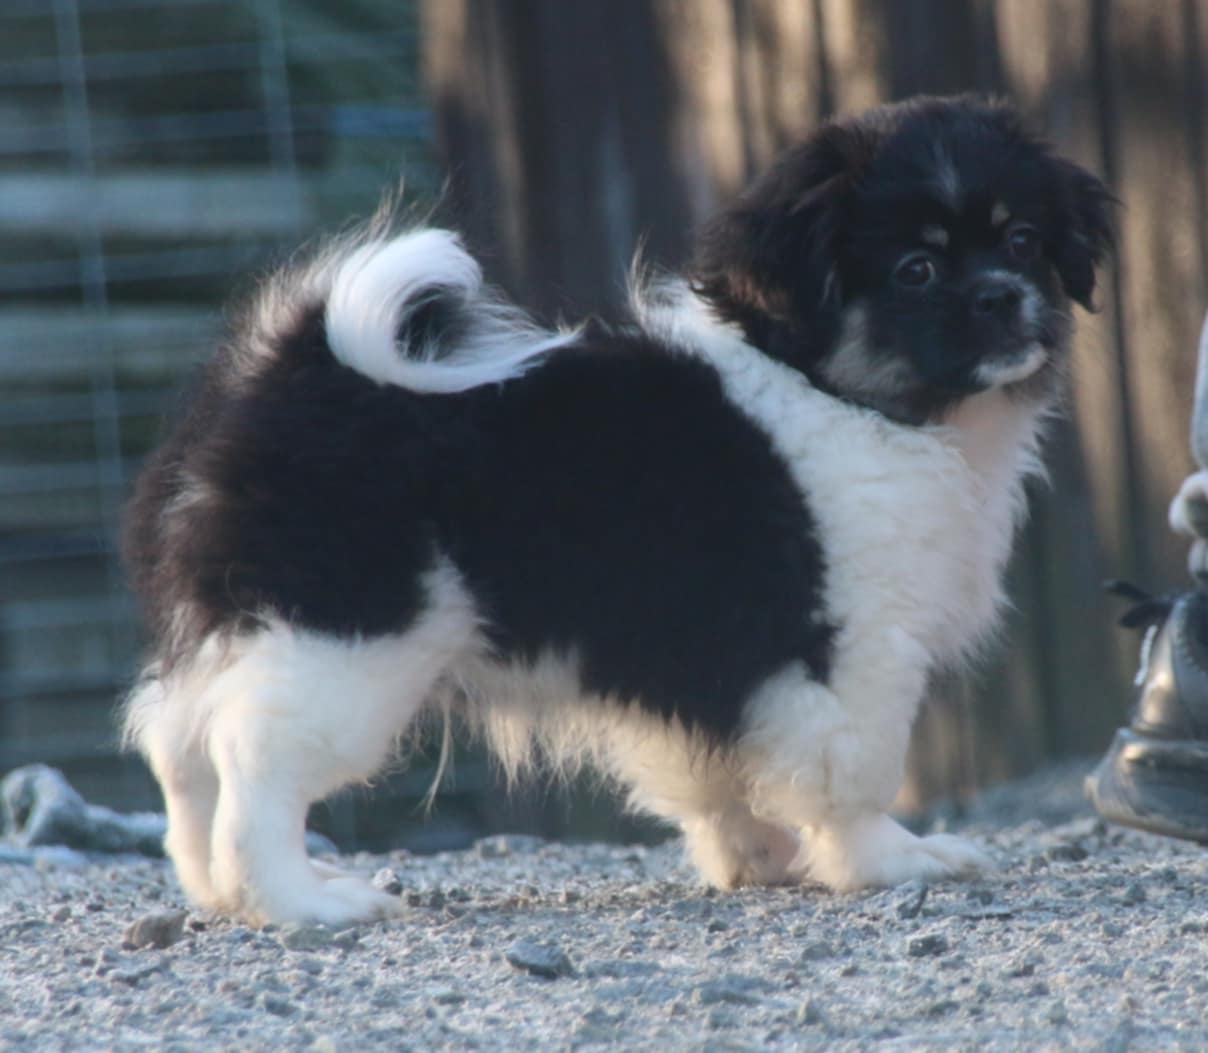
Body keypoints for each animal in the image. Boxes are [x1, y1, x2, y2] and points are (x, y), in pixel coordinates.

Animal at [122, 96, 1111, 922]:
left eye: (1023, 241)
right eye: (916, 269)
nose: (1004, 296)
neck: (846, 394)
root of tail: (296, 367)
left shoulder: (707, 660)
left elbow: (718, 770)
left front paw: (758, 858)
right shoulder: (852, 648)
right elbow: (855, 775)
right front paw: (893, 861)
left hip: (253, 628)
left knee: (179, 744)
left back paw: (213, 889)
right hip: (346, 643)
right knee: (254, 763)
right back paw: (301, 900)